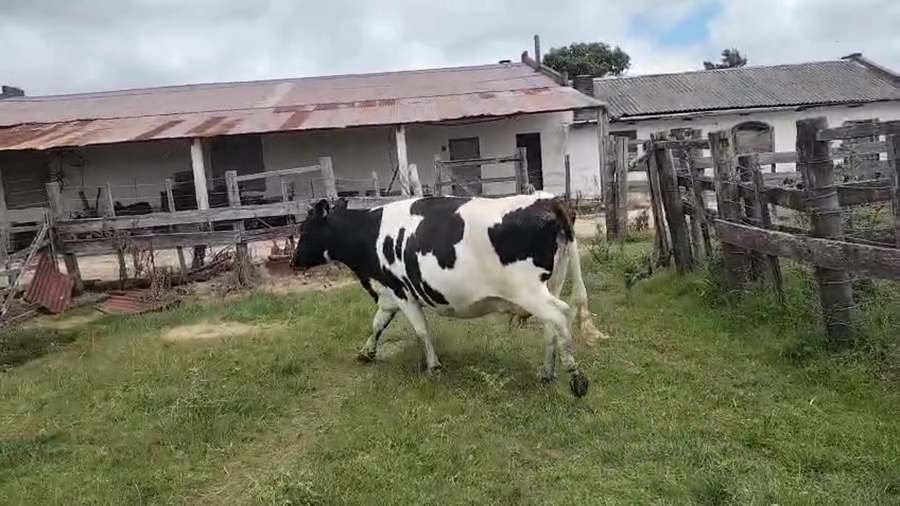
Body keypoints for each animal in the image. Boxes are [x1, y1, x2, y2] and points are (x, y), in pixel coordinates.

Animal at [289, 191, 604, 398]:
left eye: (305, 228)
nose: (293, 262)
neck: (371, 236)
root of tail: (549, 199)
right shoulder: (389, 293)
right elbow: (378, 323)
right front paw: (366, 353)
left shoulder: (402, 291)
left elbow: (421, 330)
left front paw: (433, 366)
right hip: (553, 282)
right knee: (552, 327)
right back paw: (547, 372)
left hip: (528, 289)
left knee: (561, 315)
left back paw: (576, 378)